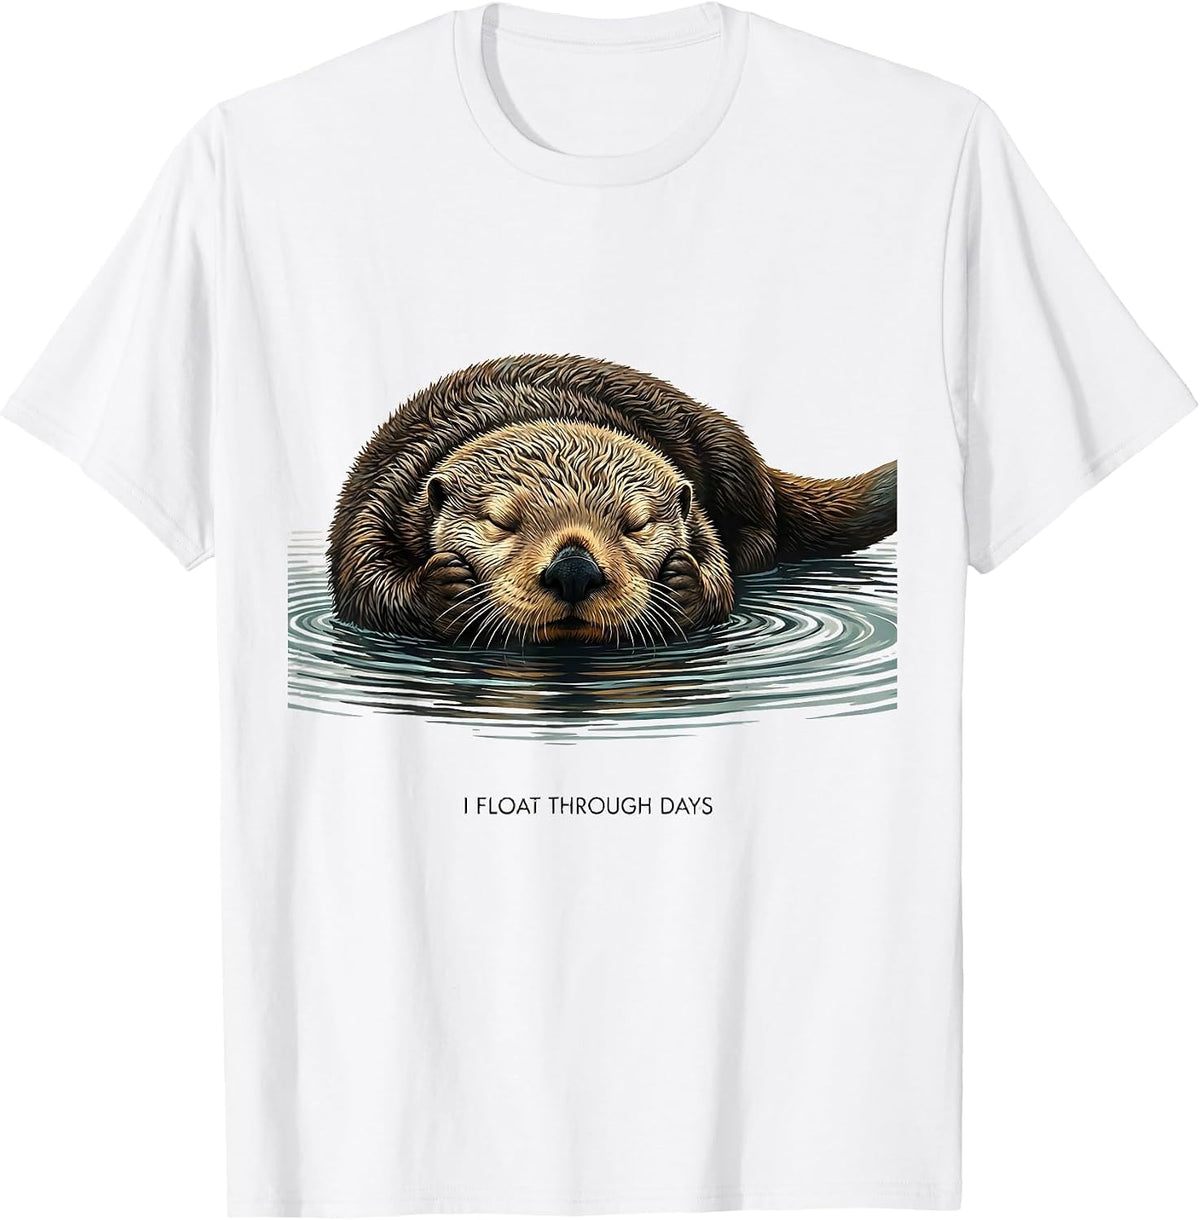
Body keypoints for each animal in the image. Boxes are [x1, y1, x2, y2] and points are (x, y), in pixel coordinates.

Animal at [328, 354, 896, 646]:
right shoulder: (386, 490)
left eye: (636, 525)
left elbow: (716, 572)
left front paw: (683, 583)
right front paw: (442, 588)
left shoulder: (698, 512)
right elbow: (364, 580)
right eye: (501, 521)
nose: (573, 570)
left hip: (726, 451)